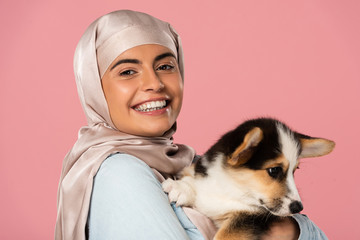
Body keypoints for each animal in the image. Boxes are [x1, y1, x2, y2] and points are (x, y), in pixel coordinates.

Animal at [163, 118, 334, 240]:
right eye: (274, 170)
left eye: (295, 170)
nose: (298, 208)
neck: (230, 188)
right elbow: (191, 177)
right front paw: (180, 188)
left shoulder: (249, 218)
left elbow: (224, 235)